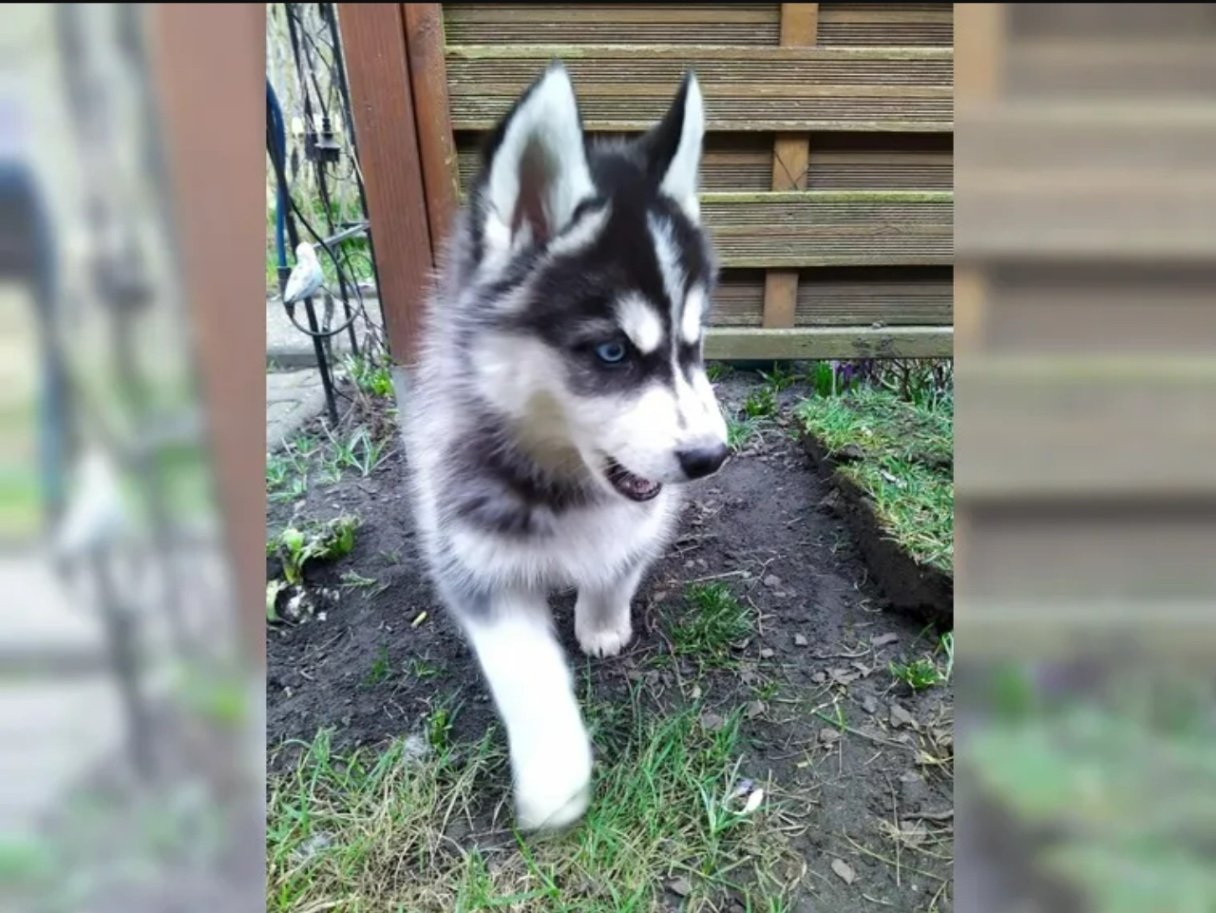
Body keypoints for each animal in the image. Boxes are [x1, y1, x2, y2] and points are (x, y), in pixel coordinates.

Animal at [403, 62, 729, 831]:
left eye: (693, 344)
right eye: (612, 352)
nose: (710, 458)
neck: (562, 482)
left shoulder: (643, 514)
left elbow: (617, 563)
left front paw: (601, 619)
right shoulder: (470, 554)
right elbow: (526, 666)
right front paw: (555, 774)